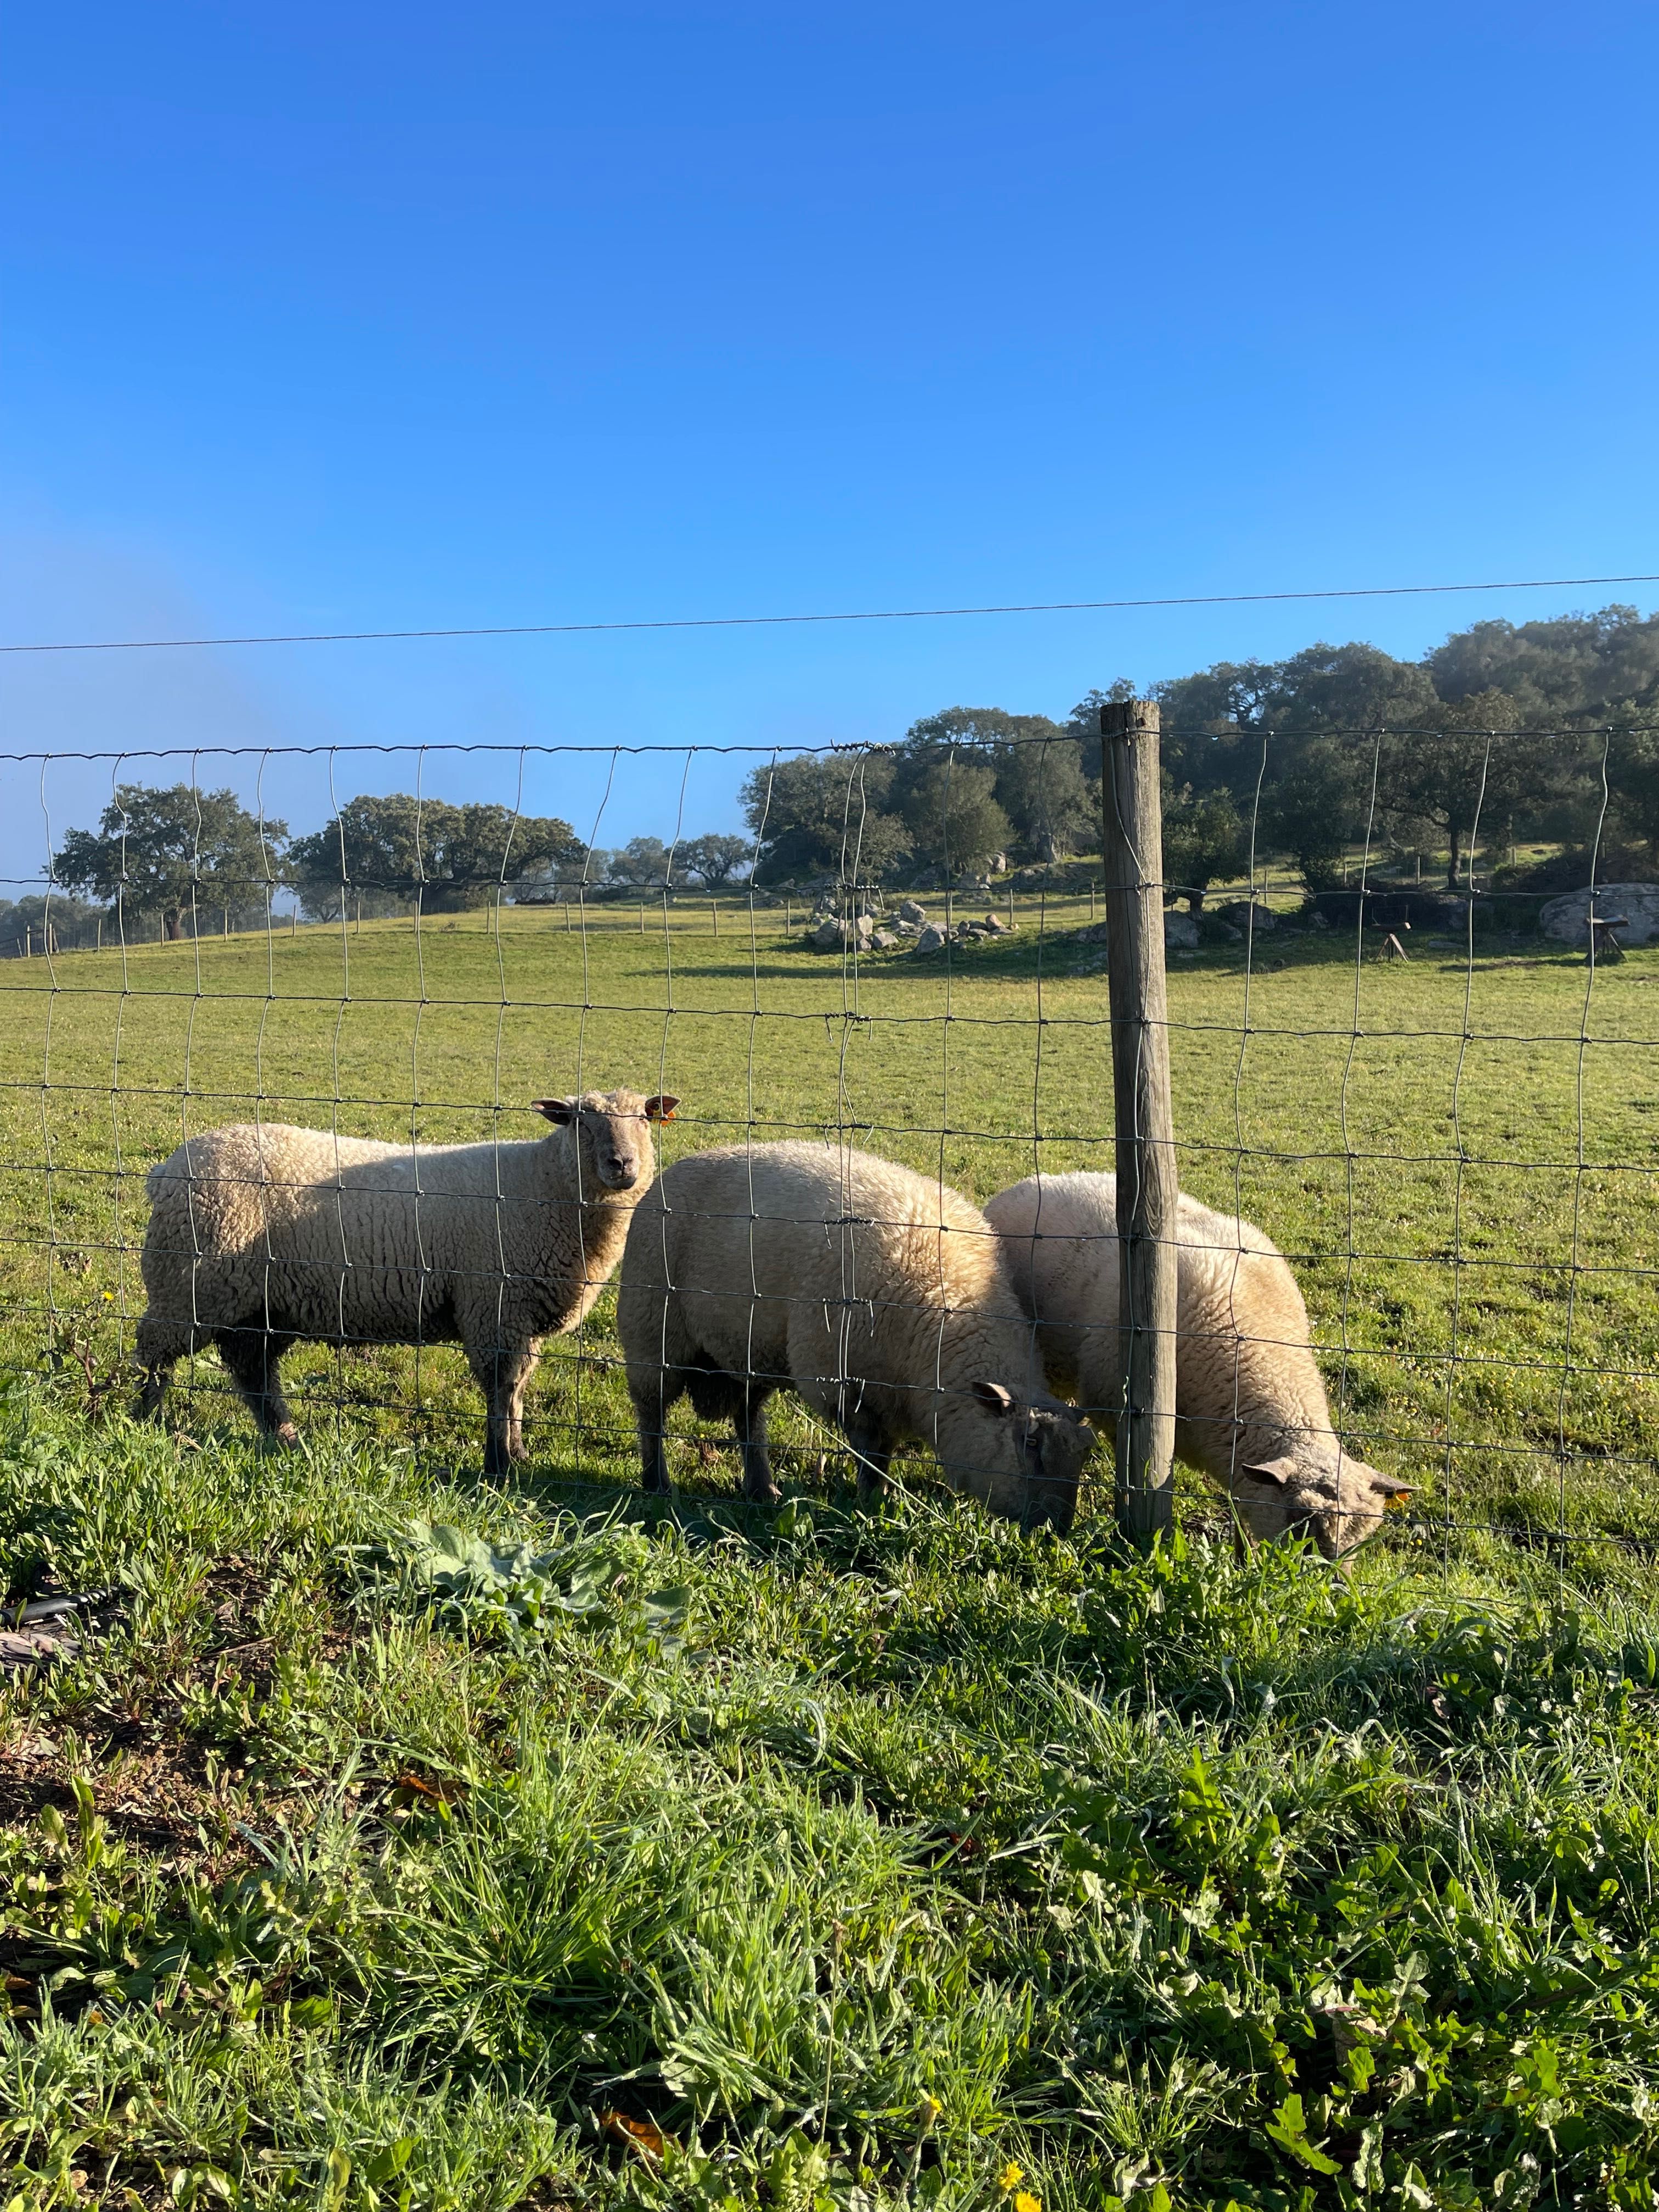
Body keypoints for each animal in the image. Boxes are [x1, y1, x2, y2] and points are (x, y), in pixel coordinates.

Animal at [131, 1088, 676, 1469]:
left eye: (645, 1120)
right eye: (581, 1123)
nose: (622, 1164)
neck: (544, 1184)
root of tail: (168, 1168)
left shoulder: (518, 1315)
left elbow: (518, 1388)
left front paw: (518, 1453)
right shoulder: (491, 1307)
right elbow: (501, 1388)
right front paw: (499, 1461)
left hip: (260, 1304)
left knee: (253, 1371)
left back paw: (286, 1438)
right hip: (190, 1284)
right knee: (156, 1354)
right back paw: (142, 1422)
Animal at [619, 1132, 1097, 1531]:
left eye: (1084, 1453)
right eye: (1030, 1445)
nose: (1055, 1530)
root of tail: (670, 1173)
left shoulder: (888, 1390)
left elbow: (884, 1451)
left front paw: (879, 1497)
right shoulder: (842, 1380)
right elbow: (871, 1449)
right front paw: (871, 1501)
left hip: (746, 1346)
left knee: (748, 1416)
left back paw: (762, 1489)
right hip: (651, 1329)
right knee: (651, 1415)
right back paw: (658, 1483)